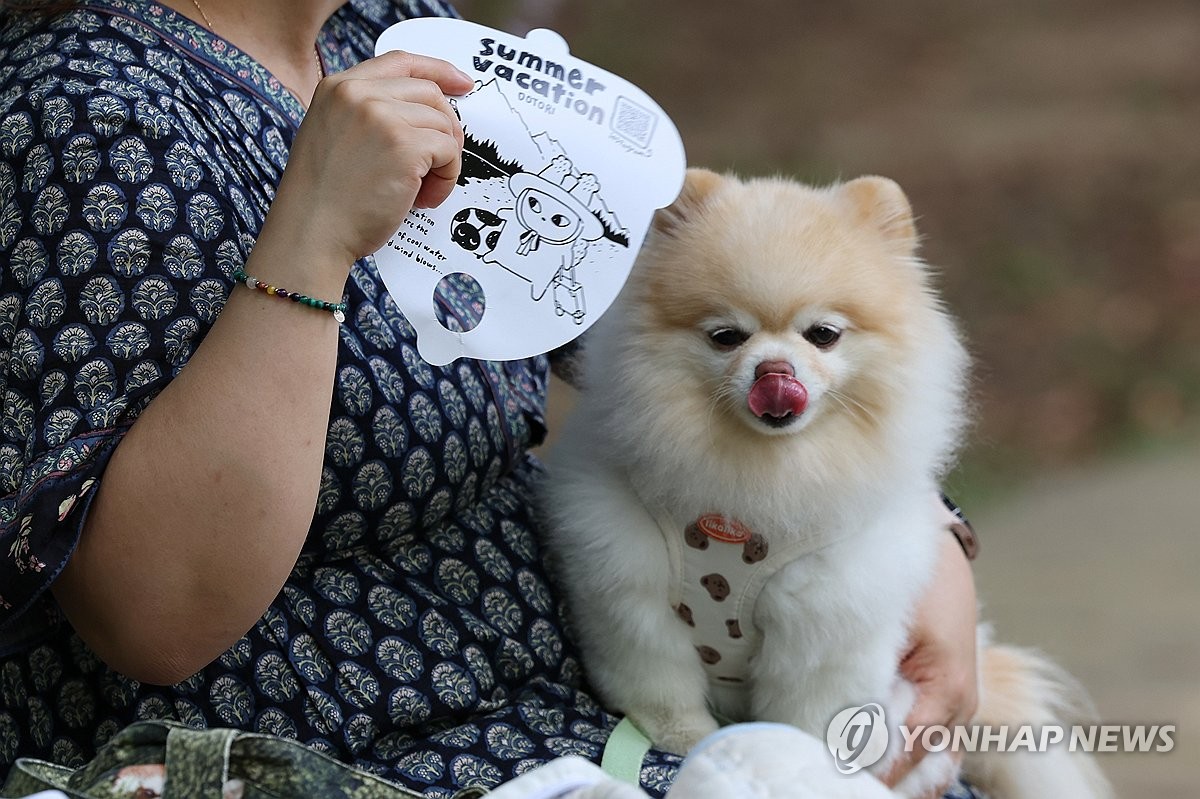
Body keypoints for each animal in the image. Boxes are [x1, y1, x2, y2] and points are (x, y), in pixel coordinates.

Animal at [540, 171, 1108, 791]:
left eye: (823, 334)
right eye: (726, 336)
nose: (774, 373)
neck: (755, 478)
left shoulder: (825, 631)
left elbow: (807, 724)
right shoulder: (633, 600)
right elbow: (663, 693)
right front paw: (687, 744)